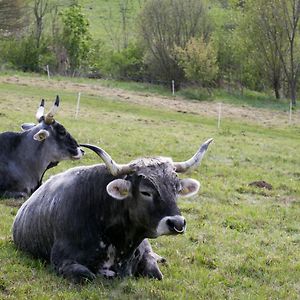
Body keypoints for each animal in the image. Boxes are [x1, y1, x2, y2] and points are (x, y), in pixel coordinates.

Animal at [12, 138, 213, 282]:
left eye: (176, 189)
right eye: (145, 192)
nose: (177, 223)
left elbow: (155, 272)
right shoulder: (63, 261)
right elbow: (87, 275)